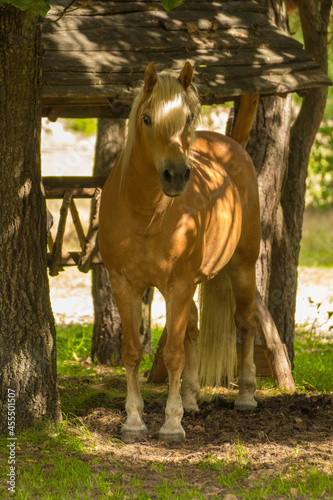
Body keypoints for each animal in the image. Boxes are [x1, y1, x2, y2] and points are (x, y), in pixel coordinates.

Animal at [100, 61, 260, 442]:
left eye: (187, 117)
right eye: (146, 118)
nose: (176, 175)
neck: (145, 212)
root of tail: (229, 145)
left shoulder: (178, 285)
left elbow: (172, 354)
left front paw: (172, 424)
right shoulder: (124, 285)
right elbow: (132, 352)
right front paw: (134, 420)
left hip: (242, 266)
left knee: (245, 322)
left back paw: (246, 395)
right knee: (192, 331)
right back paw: (190, 399)